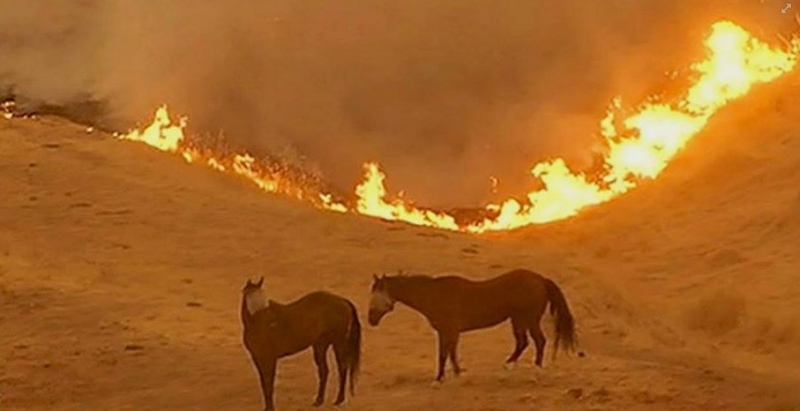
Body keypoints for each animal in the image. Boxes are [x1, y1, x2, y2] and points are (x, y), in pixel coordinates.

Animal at [239, 278, 360, 410]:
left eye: (264, 299)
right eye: (252, 298)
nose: (273, 322)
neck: (257, 324)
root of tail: (342, 300)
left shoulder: (270, 358)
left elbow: (268, 382)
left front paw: (270, 408)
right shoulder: (257, 358)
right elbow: (264, 383)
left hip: (338, 343)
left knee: (342, 368)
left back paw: (339, 400)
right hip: (320, 346)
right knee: (324, 370)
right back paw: (319, 400)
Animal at [368, 270, 576, 384]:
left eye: (376, 295)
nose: (371, 319)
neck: (435, 295)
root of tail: (540, 279)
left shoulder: (448, 331)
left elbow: (444, 355)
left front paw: (439, 379)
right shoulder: (448, 332)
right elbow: (451, 353)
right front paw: (456, 374)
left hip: (528, 319)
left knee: (538, 342)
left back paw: (535, 369)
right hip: (518, 320)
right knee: (523, 342)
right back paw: (509, 365)